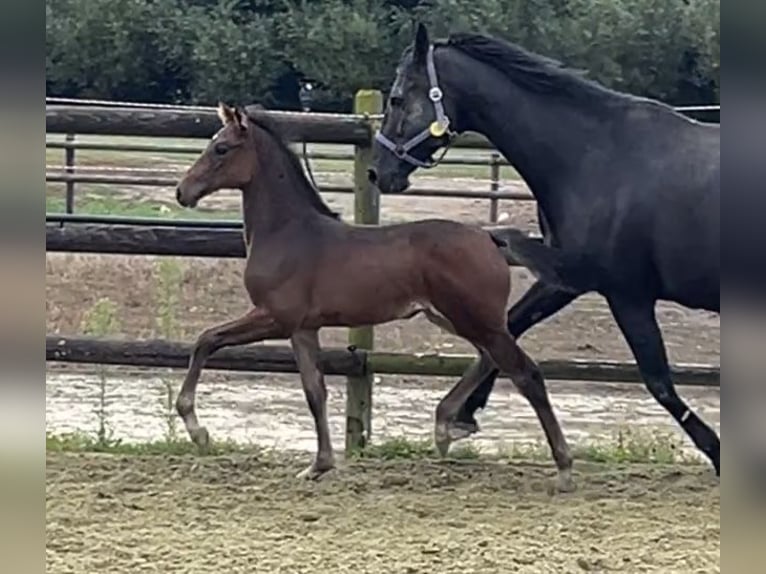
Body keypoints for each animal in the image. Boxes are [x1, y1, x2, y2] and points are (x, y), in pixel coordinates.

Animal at [174, 102, 580, 490]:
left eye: (221, 148)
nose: (182, 192)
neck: (289, 233)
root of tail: (489, 237)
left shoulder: (275, 316)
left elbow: (206, 339)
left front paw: (197, 430)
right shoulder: (303, 328)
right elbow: (314, 391)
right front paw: (319, 465)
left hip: (474, 320)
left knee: (526, 373)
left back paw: (562, 469)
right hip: (455, 318)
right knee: (488, 359)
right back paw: (444, 425)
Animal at [369, 24, 721, 476]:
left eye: (397, 98)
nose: (379, 172)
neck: (595, 158)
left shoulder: (626, 292)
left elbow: (659, 381)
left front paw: (717, 453)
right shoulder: (568, 279)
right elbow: (509, 325)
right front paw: (457, 415)